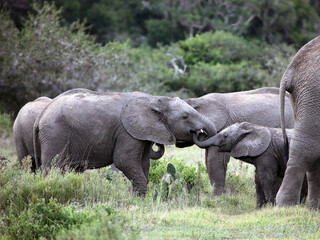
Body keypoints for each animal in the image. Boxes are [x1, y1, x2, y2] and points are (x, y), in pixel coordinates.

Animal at [33, 88, 216, 195]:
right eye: (185, 116)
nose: (200, 133)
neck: (155, 100)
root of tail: (41, 116)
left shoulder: (140, 132)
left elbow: (144, 163)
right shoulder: (127, 132)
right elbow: (124, 160)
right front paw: (139, 201)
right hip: (55, 134)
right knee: (53, 167)